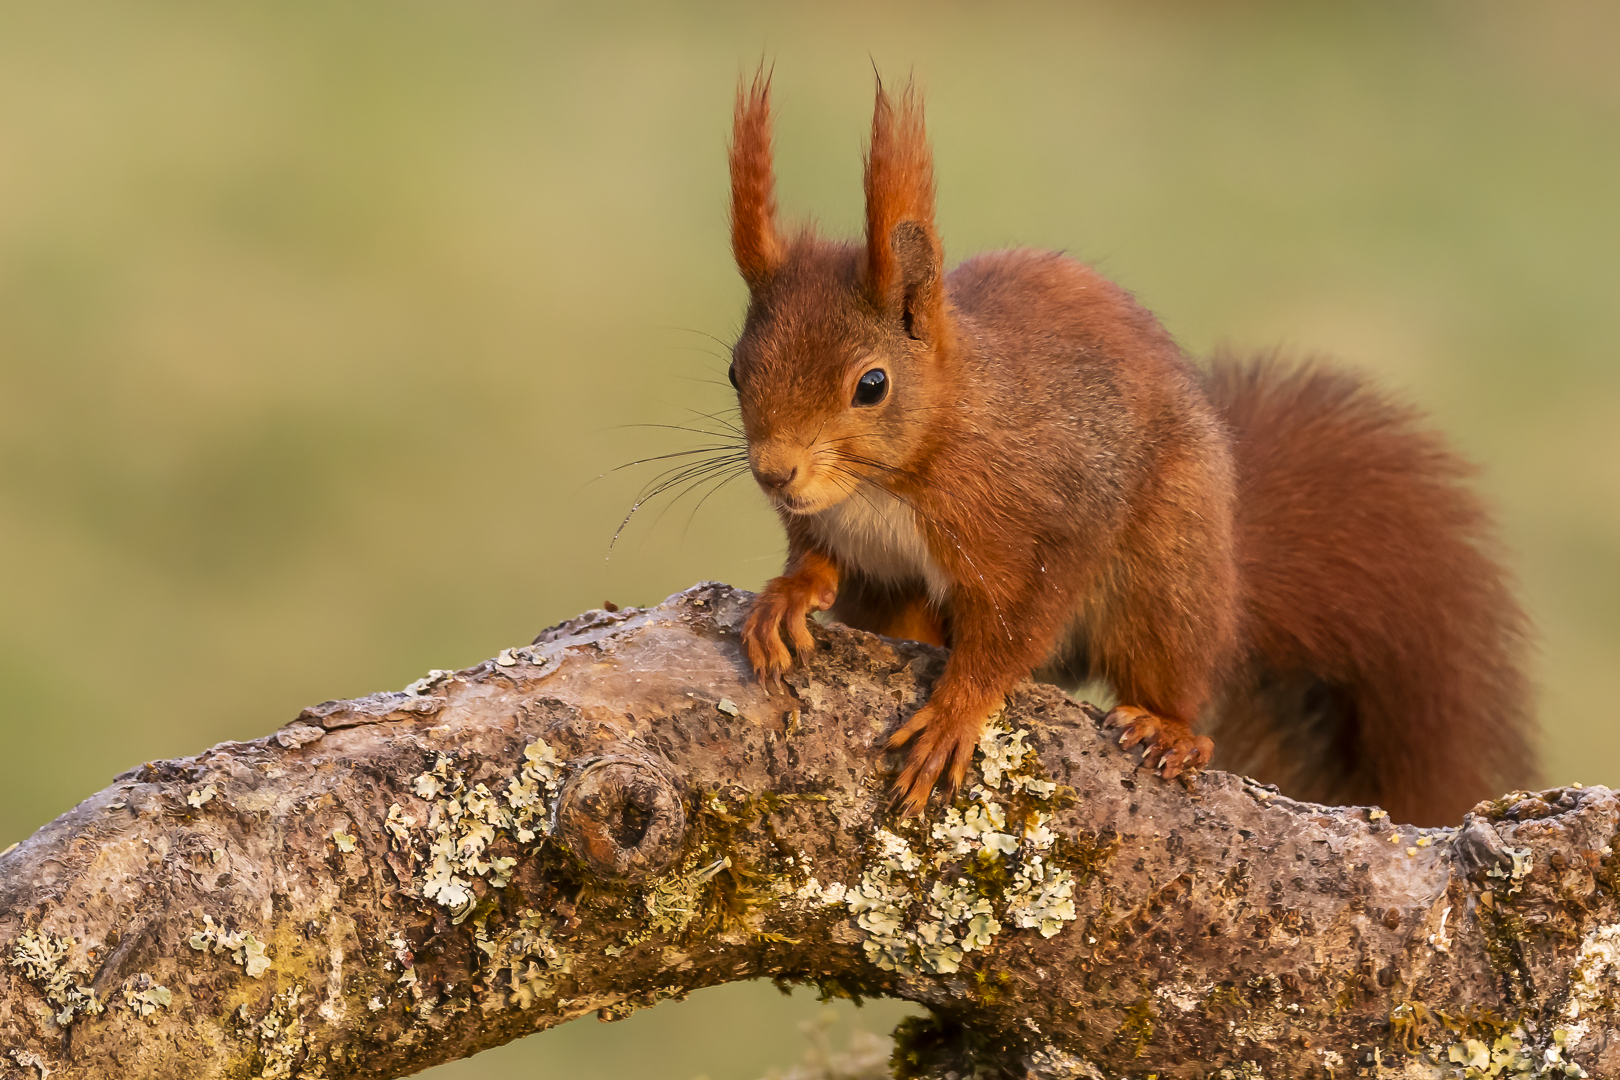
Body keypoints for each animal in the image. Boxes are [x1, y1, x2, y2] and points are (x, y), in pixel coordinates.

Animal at [729, 71, 1535, 822]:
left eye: (871, 385)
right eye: (736, 370)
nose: (774, 472)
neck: (896, 474)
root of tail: (1231, 575)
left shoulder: (1045, 522)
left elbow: (1011, 634)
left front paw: (955, 714)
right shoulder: (843, 533)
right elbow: (819, 560)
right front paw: (788, 595)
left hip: (1168, 575)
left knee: (1172, 669)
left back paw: (1170, 729)